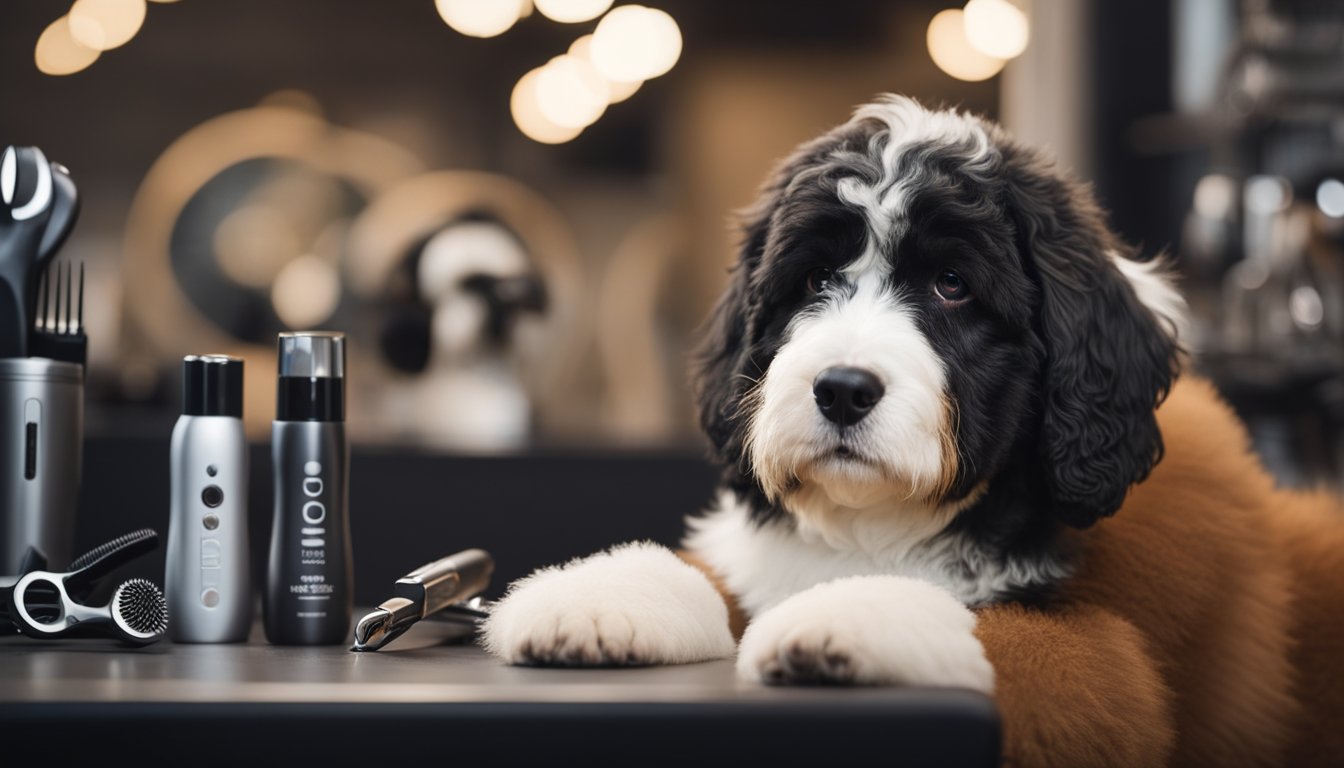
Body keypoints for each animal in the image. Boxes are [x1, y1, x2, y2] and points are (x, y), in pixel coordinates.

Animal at [481, 91, 1188, 688]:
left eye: (952, 284)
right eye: (816, 278)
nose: (843, 390)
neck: (864, 523)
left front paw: (837, 617)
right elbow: (706, 575)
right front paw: (595, 601)